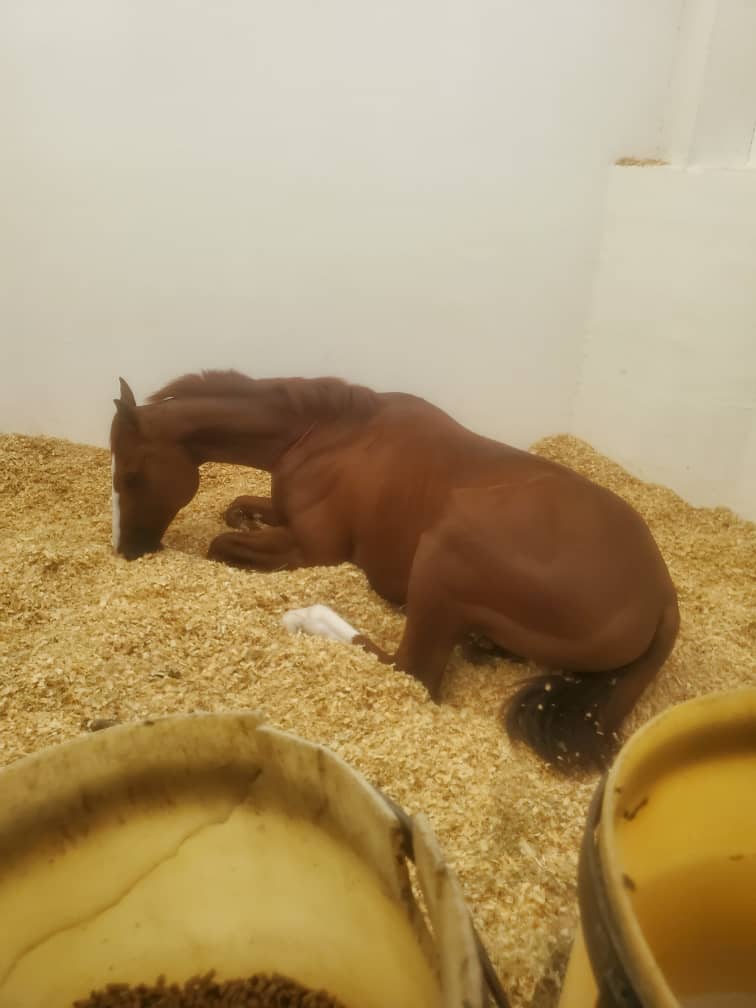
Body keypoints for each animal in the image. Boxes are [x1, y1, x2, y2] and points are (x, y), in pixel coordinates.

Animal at [110, 370, 679, 772]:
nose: (127, 551)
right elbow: (234, 510)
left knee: (410, 671)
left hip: (444, 552)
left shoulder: (314, 549)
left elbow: (221, 542)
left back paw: (309, 618)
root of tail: (662, 595)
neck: (325, 436)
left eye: (131, 474)